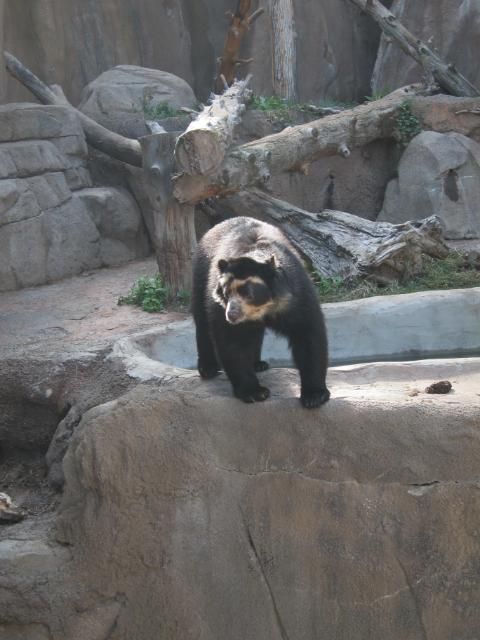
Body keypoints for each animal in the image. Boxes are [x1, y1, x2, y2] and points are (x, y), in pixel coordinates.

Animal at [191, 218, 330, 408]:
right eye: (226, 293)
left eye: (248, 293)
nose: (232, 315)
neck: (264, 309)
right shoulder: (219, 306)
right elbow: (232, 341)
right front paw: (255, 392)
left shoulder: (297, 295)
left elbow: (308, 334)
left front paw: (314, 396)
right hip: (200, 274)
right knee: (202, 321)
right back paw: (208, 368)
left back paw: (259, 364)